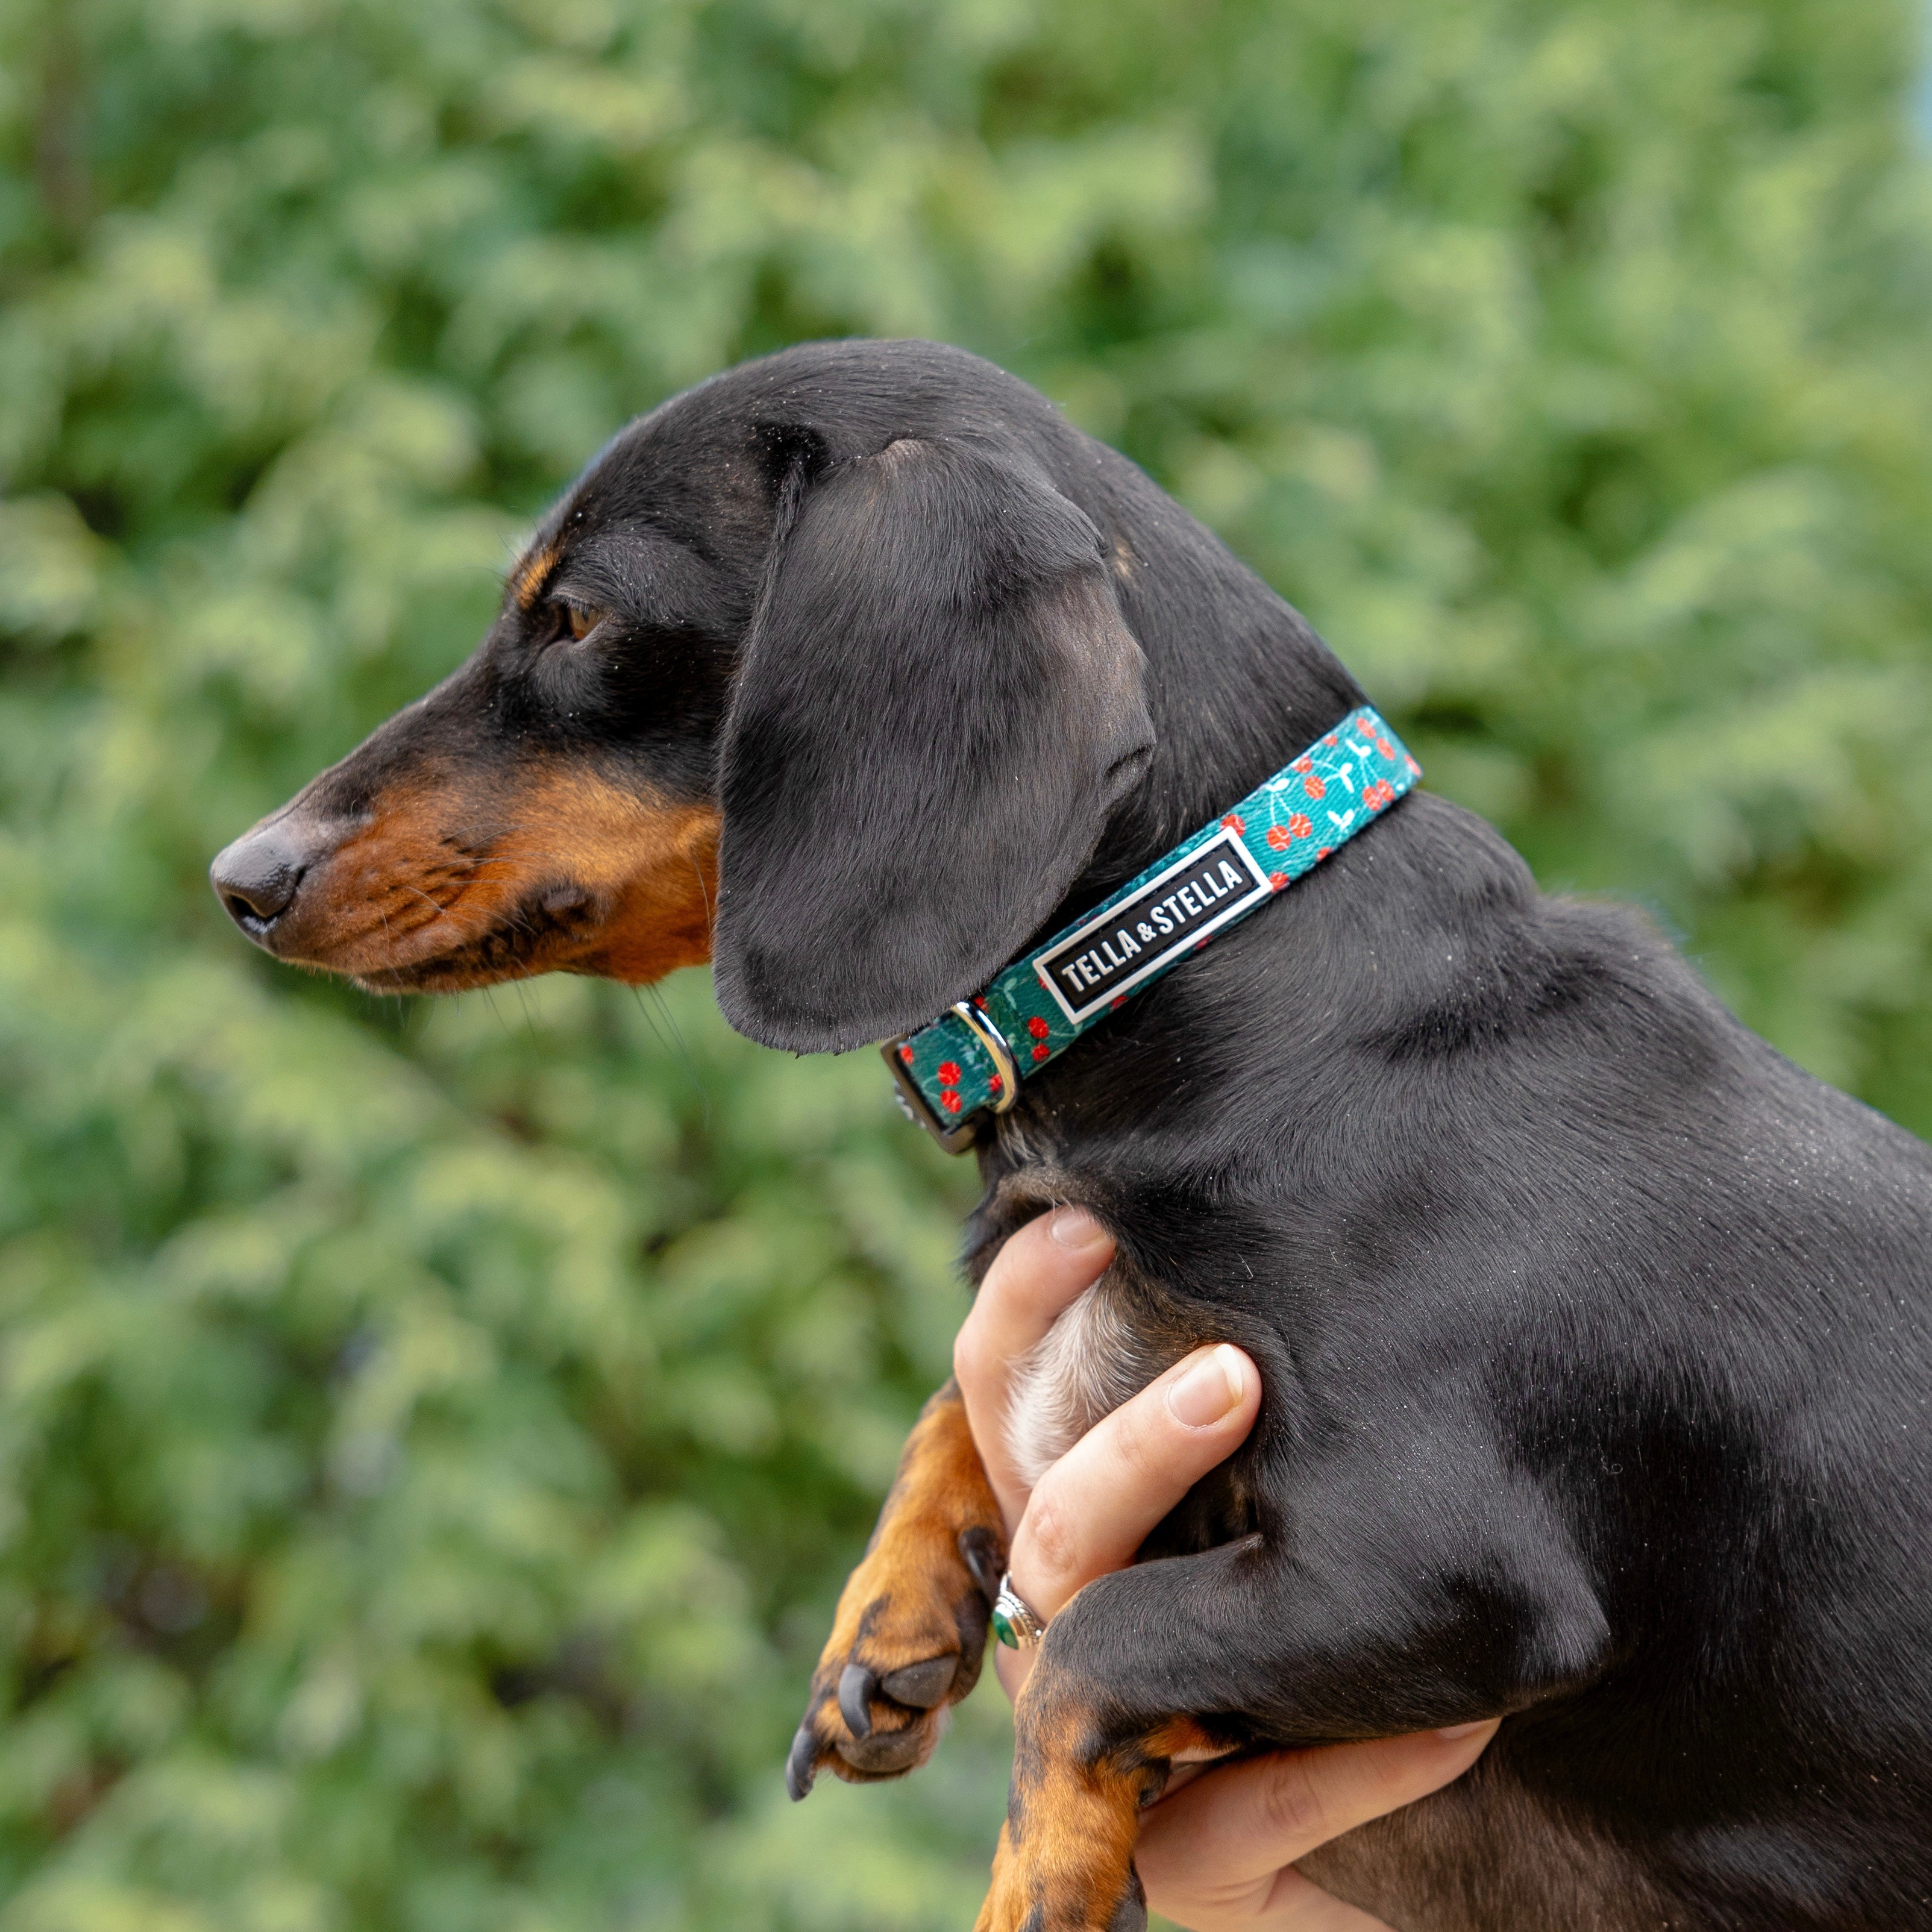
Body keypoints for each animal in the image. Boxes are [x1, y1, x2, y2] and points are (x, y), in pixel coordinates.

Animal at [212, 340, 1932, 1924]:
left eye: (576, 618)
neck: (1233, 974)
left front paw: (1036, 1884)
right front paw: (892, 1615)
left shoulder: (1451, 1564)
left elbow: (1098, 1640)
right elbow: (959, 1405)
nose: (241, 876)